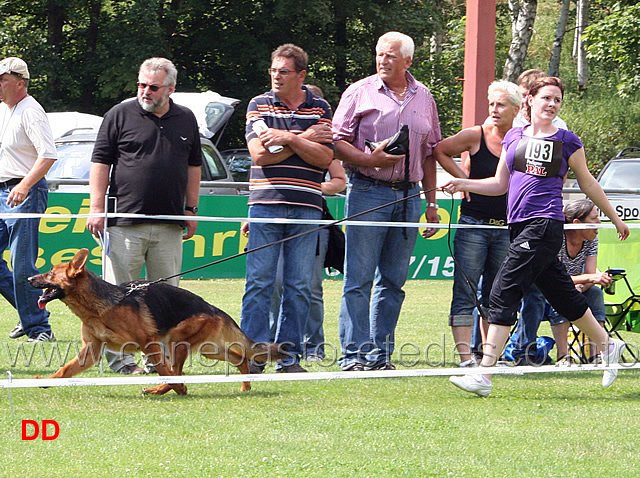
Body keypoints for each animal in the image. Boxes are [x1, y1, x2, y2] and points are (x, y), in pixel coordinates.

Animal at [27, 248, 282, 394]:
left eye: (51, 273)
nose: (29, 278)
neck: (98, 308)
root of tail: (212, 307)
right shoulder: (91, 351)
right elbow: (65, 370)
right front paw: (47, 381)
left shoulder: (149, 344)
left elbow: (164, 370)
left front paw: (177, 388)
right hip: (209, 349)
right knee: (240, 358)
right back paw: (245, 384)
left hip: (176, 342)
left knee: (176, 372)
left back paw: (164, 389)